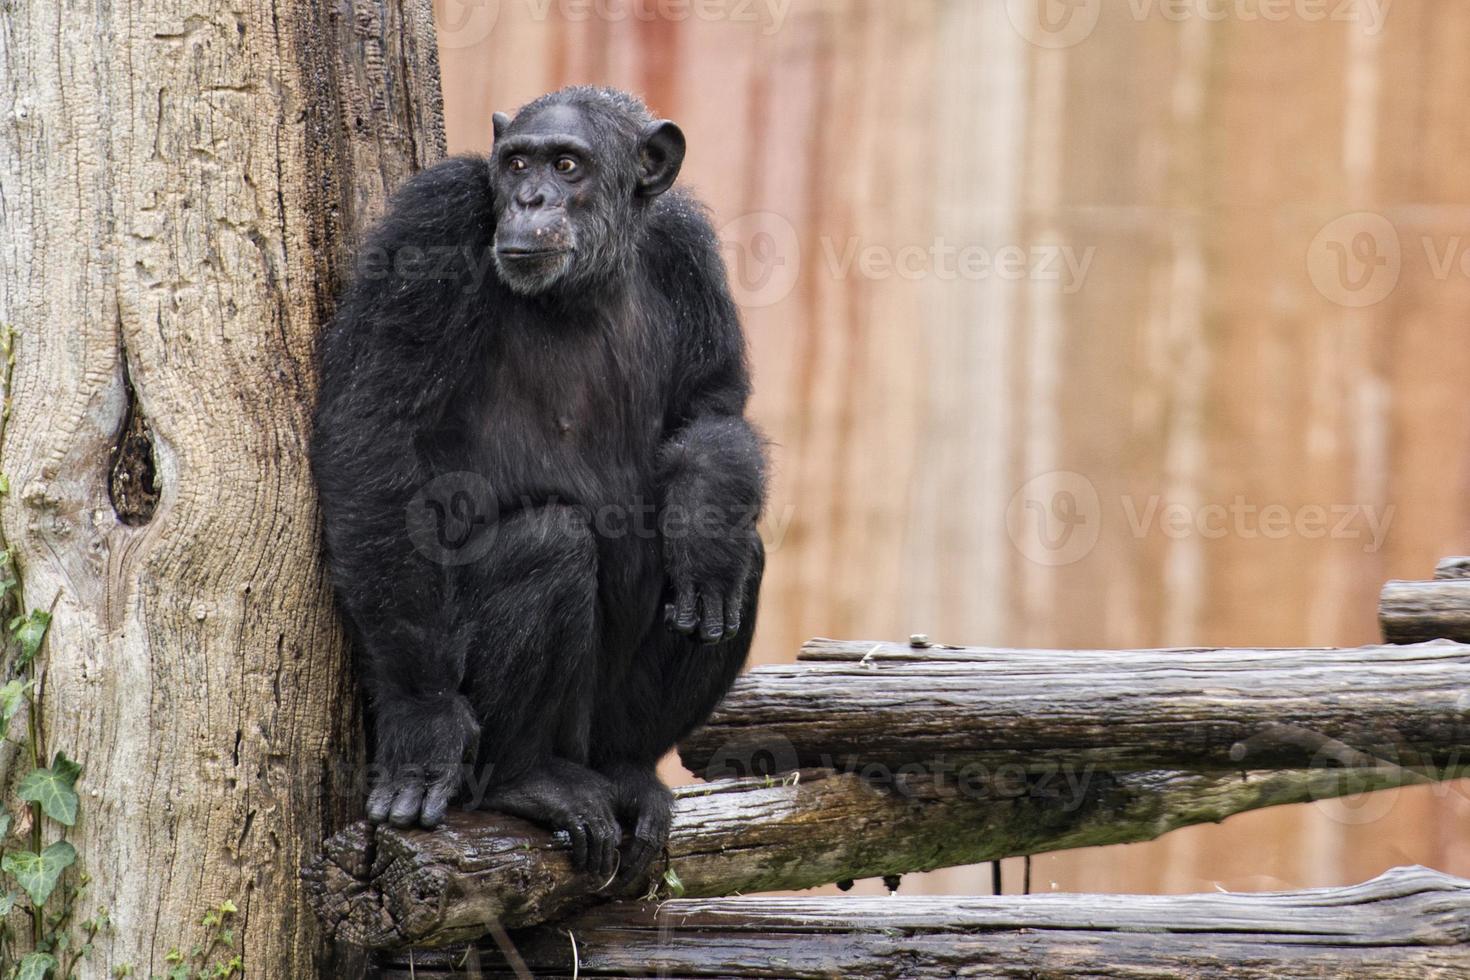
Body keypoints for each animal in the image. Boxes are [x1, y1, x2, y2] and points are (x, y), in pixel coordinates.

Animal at [311, 84, 770, 887]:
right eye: (518, 162)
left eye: (567, 165)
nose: (529, 198)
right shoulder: (433, 217)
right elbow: (374, 431)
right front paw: (423, 719)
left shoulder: (689, 248)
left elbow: (712, 406)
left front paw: (706, 521)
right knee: (550, 545)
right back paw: (524, 779)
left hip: (603, 727)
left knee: (742, 563)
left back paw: (629, 769)